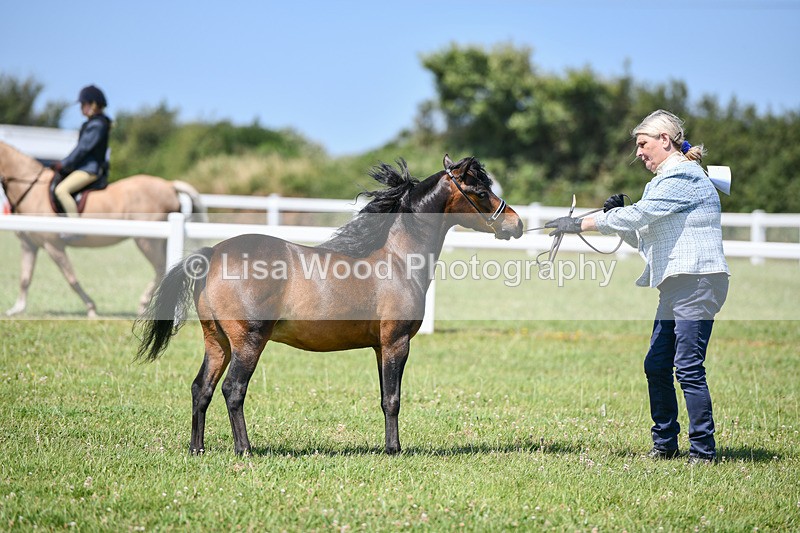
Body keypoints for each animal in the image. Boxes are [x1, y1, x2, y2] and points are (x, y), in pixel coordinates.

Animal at [0, 140, 207, 317]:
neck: (31, 190)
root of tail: (169, 185)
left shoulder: (53, 245)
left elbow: (71, 278)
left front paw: (91, 309)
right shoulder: (29, 244)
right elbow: (25, 278)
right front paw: (16, 309)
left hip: (147, 241)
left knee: (161, 268)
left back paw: (144, 305)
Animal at [134, 155, 523, 456]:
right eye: (480, 191)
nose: (516, 224)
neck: (397, 258)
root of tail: (213, 254)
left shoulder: (380, 347)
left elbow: (384, 397)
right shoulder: (396, 343)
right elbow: (394, 399)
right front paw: (394, 450)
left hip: (217, 342)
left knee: (201, 388)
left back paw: (197, 449)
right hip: (248, 342)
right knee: (233, 390)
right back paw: (245, 449)